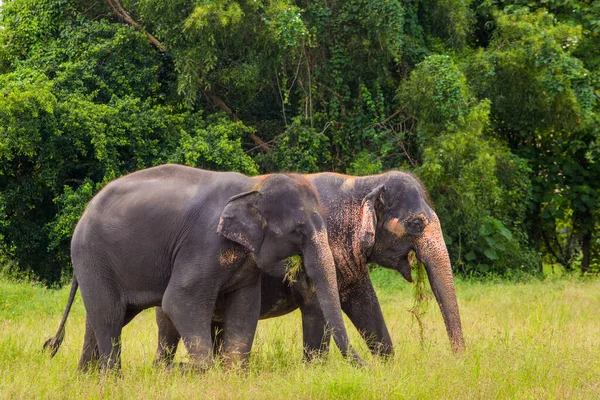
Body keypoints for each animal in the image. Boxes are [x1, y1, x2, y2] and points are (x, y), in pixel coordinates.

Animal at [44, 164, 364, 370]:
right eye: (298, 231)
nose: (366, 366)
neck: (252, 186)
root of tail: (84, 212)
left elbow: (244, 308)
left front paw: (232, 374)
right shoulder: (205, 243)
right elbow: (179, 300)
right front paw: (205, 372)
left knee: (101, 318)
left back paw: (87, 379)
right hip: (93, 256)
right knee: (109, 317)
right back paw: (113, 378)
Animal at [154, 170, 464, 364]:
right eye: (416, 224)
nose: (456, 359)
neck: (361, 183)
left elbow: (364, 301)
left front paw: (387, 366)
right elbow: (317, 305)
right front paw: (315, 370)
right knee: (168, 326)